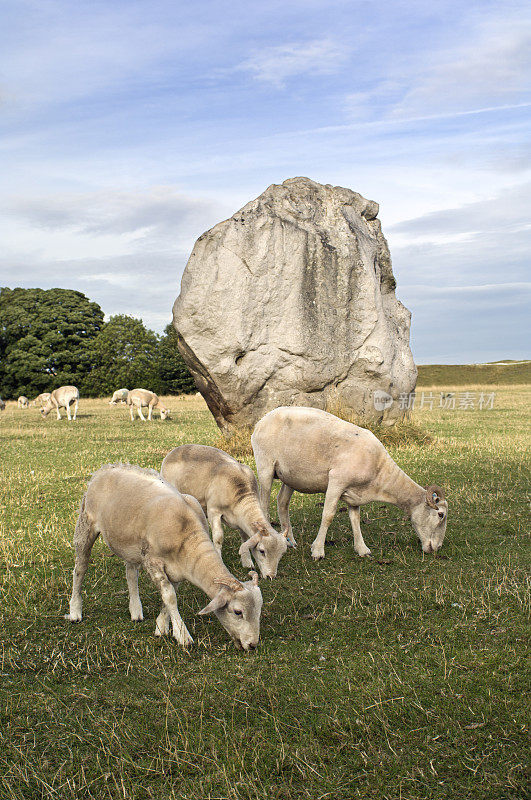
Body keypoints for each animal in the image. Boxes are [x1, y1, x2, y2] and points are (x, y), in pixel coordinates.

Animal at [66, 462, 264, 648]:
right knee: (80, 568)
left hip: (130, 543)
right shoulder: (153, 562)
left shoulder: (177, 568)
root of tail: (106, 468)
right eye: (238, 612)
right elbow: (170, 597)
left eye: (259, 609)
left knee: (130, 573)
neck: (187, 536)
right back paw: (75, 610)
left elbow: (168, 597)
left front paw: (161, 626)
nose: (252, 645)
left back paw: (135, 610)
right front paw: (182, 635)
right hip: (86, 524)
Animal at [161, 444, 288, 580]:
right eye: (262, 551)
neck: (241, 497)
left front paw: (247, 562)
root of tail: (177, 449)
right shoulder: (214, 511)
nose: (271, 577)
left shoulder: (240, 519)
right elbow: (218, 538)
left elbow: (244, 537)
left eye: (281, 554)